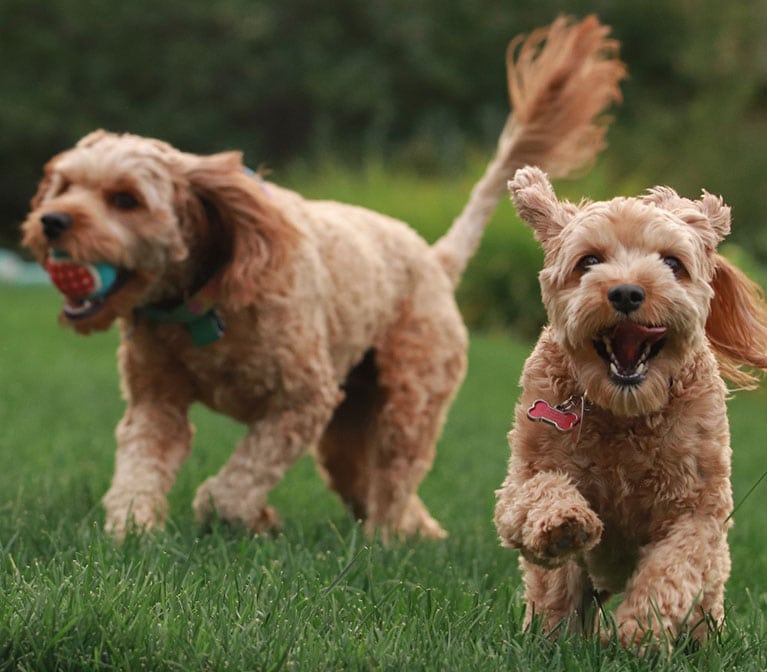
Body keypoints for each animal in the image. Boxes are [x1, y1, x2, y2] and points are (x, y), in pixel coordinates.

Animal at [24, 17, 624, 540]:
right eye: (64, 185)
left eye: (125, 199)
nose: (51, 222)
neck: (203, 301)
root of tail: (435, 259)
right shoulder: (157, 401)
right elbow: (141, 465)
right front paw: (132, 531)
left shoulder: (302, 398)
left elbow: (234, 485)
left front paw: (242, 515)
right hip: (349, 421)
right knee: (369, 478)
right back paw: (418, 532)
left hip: (409, 397)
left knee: (395, 473)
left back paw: (387, 539)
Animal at [496, 165, 767, 648]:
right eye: (588, 261)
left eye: (672, 263)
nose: (625, 293)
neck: (624, 411)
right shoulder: (521, 478)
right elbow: (537, 492)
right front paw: (564, 522)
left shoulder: (698, 508)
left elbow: (674, 566)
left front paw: (641, 629)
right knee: (556, 594)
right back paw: (551, 637)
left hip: (712, 579)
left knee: (705, 599)